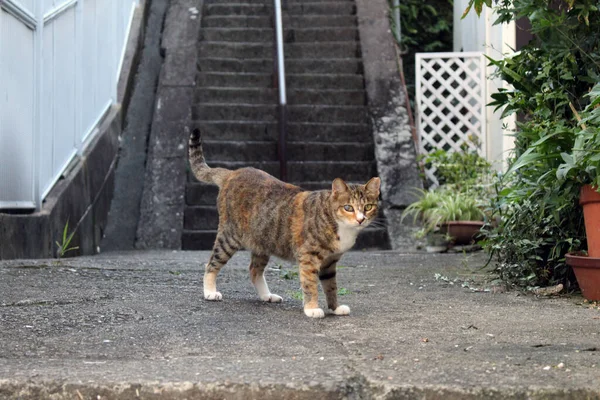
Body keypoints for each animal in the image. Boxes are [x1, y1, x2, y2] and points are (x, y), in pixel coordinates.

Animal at [188, 128, 380, 318]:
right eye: (348, 207)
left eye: (368, 207)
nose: (360, 219)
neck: (339, 225)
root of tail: (232, 173)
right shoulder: (308, 258)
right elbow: (310, 285)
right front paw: (311, 308)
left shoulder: (330, 263)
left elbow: (331, 286)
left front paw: (335, 308)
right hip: (230, 237)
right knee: (212, 263)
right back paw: (210, 292)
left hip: (263, 241)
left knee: (254, 270)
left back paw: (267, 295)